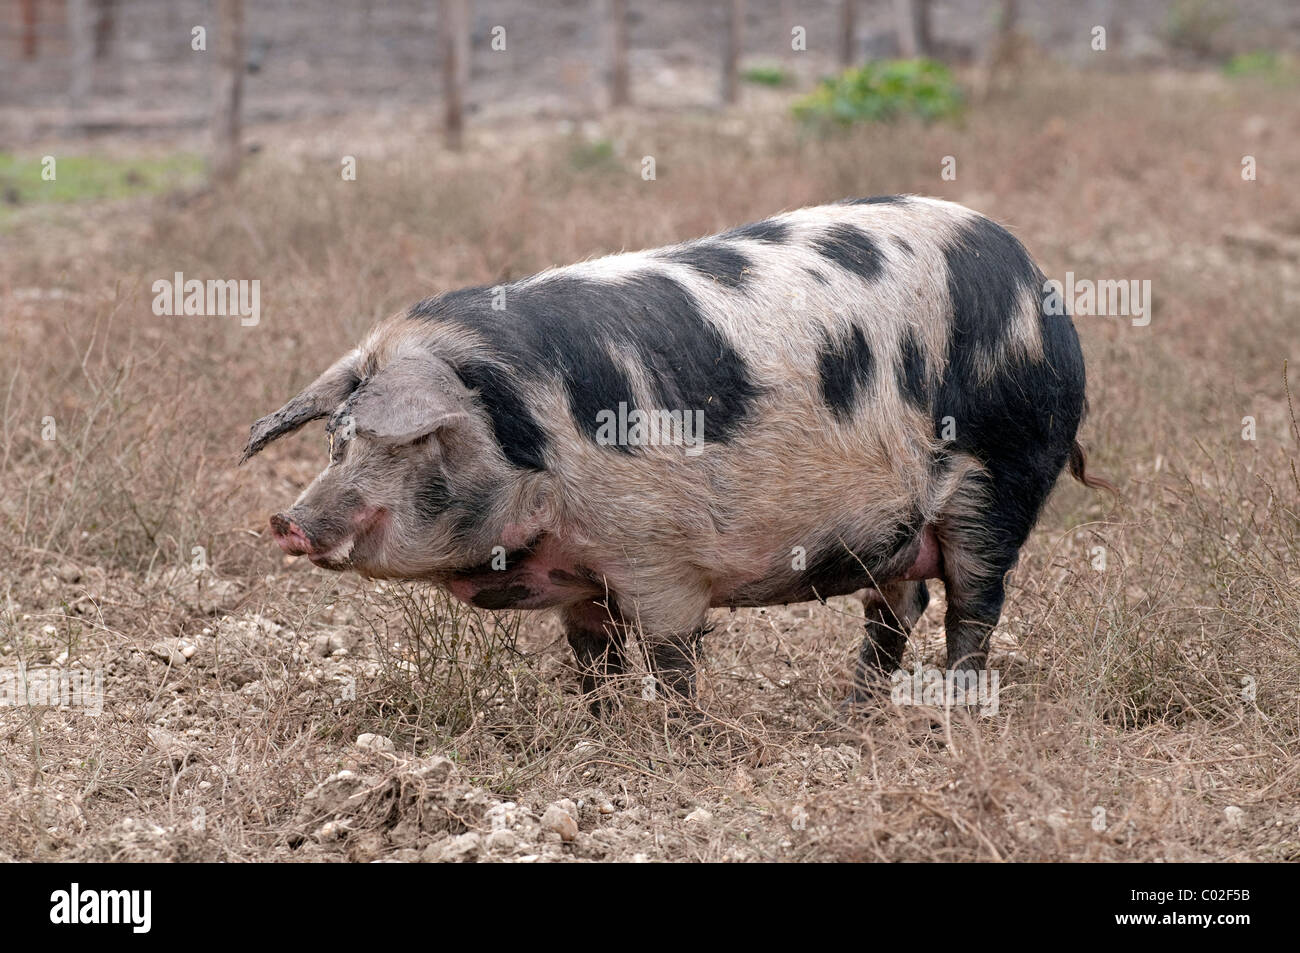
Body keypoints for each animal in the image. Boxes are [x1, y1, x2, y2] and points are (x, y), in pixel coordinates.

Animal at [243, 195, 1111, 710]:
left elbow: (670, 657)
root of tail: (1035, 281)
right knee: (900, 605)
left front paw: (677, 733)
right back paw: (853, 708)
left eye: (415, 439)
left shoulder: (661, 561)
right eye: (337, 436)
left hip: (999, 479)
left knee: (973, 605)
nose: (288, 521)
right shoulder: (580, 580)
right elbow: (592, 656)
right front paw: (594, 723)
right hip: (897, 529)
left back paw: (951, 711)